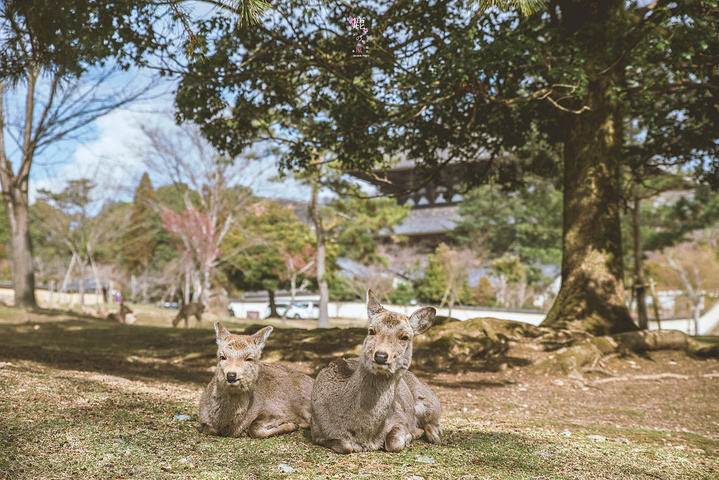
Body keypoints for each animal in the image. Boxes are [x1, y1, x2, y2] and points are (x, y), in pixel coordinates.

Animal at [310, 288, 442, 454]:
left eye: (405, 337)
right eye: (371, 331)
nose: (380, 356)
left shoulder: (401, 417)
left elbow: (393, 443)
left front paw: (409, 437)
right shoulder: (317, 431)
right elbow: (345, 446)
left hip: (430, 401)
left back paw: (435, 436)